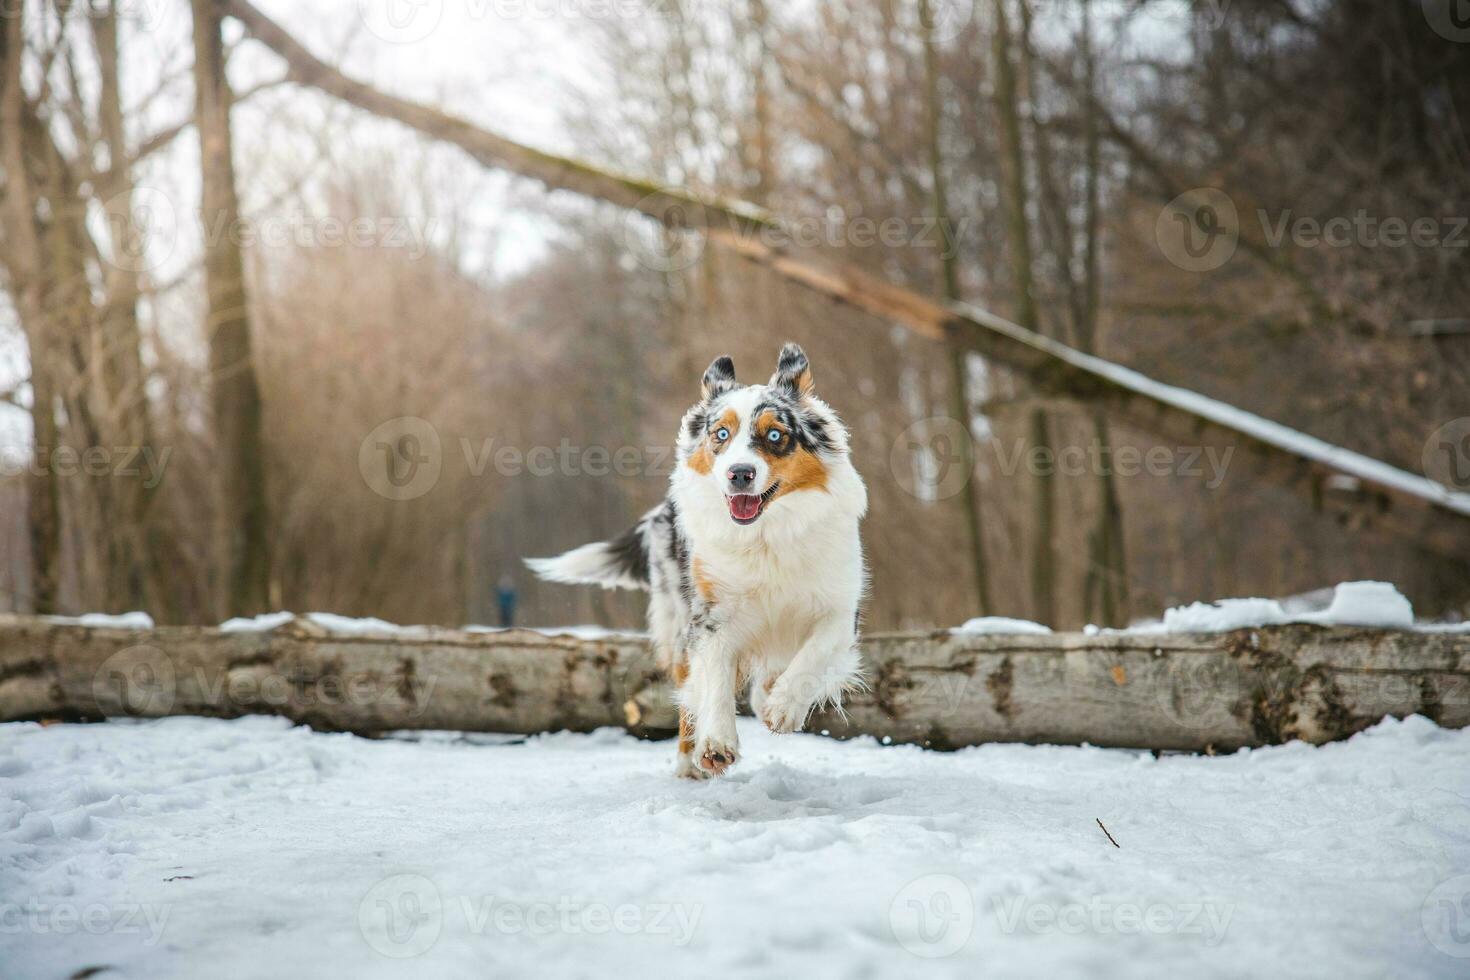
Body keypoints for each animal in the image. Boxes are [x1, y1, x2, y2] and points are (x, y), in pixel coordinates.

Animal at [529, 340, 864, 775]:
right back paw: (689, 762)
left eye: (775, 435)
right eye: (721, 434)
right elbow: (715, 679)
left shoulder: (840, 608)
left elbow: (812, 656)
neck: (765, 536)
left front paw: (783, 707)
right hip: (676, 620)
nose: (739, 473)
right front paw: (717, 743)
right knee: (690, 691)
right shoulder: (709, 615)